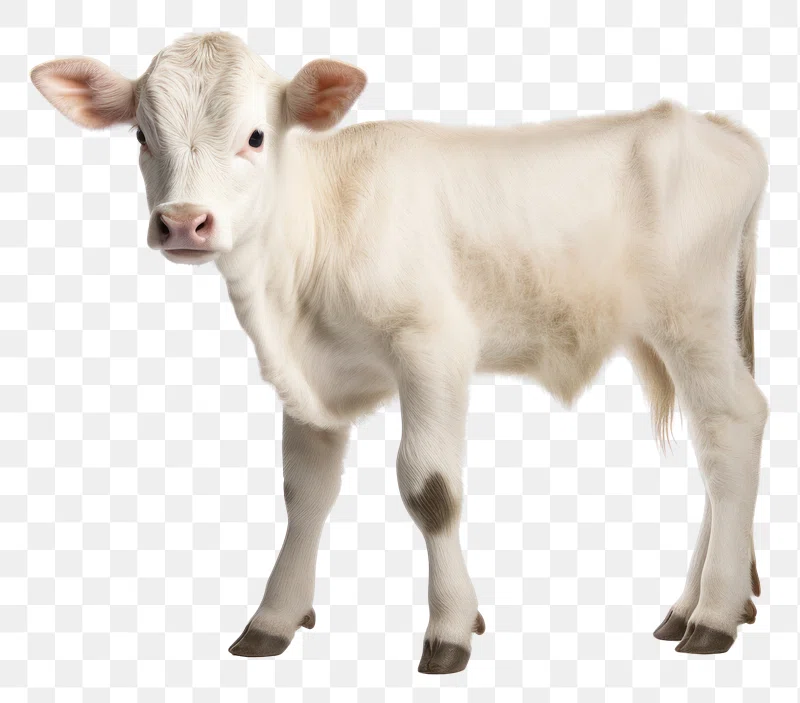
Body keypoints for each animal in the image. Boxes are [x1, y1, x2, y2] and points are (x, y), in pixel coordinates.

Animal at [31, 31, 769, 674]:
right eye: (140, 134)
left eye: (255, 136)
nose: (184, 222)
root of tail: (715, 126)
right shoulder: (311, 380)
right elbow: (304, 492)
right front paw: (274, 617)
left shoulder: (432, 345)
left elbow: (429, 489)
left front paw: (449, 628)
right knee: (717, 450)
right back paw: (697, 604)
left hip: (691, 317)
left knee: (732, 426)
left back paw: (713, 617)